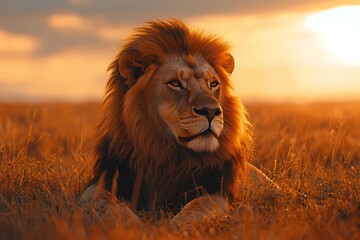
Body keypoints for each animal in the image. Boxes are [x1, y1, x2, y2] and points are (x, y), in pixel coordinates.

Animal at [82, 18, 276, 227]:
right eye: (175, 83)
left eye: (213, 84)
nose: (211, 111)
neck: (167, 155)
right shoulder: (105, 181)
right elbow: (103, 201)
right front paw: (134, 226)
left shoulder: (219, 191)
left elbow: (198, 206)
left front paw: (173, 227)